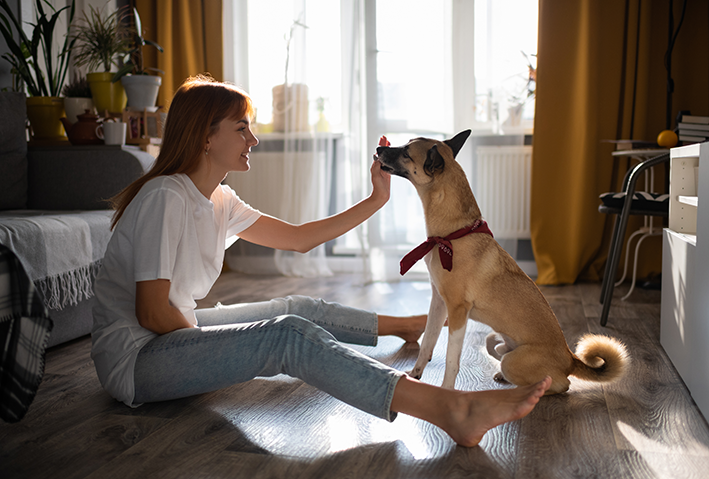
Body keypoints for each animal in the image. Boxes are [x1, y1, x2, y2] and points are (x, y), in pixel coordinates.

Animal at [374, 131, 628, 394]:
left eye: (406, 152)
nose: (378, 149)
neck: (452, 234)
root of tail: (570, 358)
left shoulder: (457, 311)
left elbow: (452, 359)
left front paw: (445, 392)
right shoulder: (438, 302)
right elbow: (427, 342)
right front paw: (415, 375)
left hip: (515, 362)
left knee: (561, 384)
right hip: (497, 340)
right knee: (495, 348)